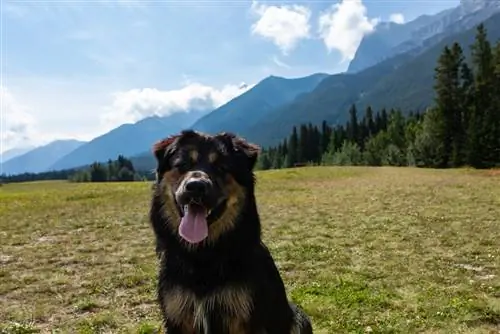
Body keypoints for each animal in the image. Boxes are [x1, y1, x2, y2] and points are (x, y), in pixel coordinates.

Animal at [147, 130, 312, 334]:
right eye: (183, 164)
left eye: (221, 167)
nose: (196, 186)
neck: (203, 256)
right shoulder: (178, 317)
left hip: (299, 317)